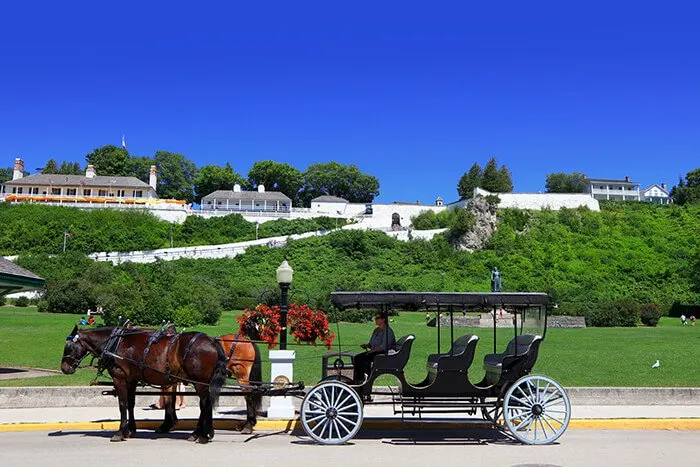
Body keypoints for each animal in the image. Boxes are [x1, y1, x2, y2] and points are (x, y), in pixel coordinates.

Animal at [61, 328, 227, 444]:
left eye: (69, 347)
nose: (64, 368)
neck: (116, 345)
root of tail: (212, 341)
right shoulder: (131, 380)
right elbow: (131, 404)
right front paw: (130, 430)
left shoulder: (119, 378)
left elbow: (122, 404)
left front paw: (120, 432)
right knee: (205, 404)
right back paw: (201, 433)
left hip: (200, 382)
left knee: (205, 404)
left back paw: (202, 435)